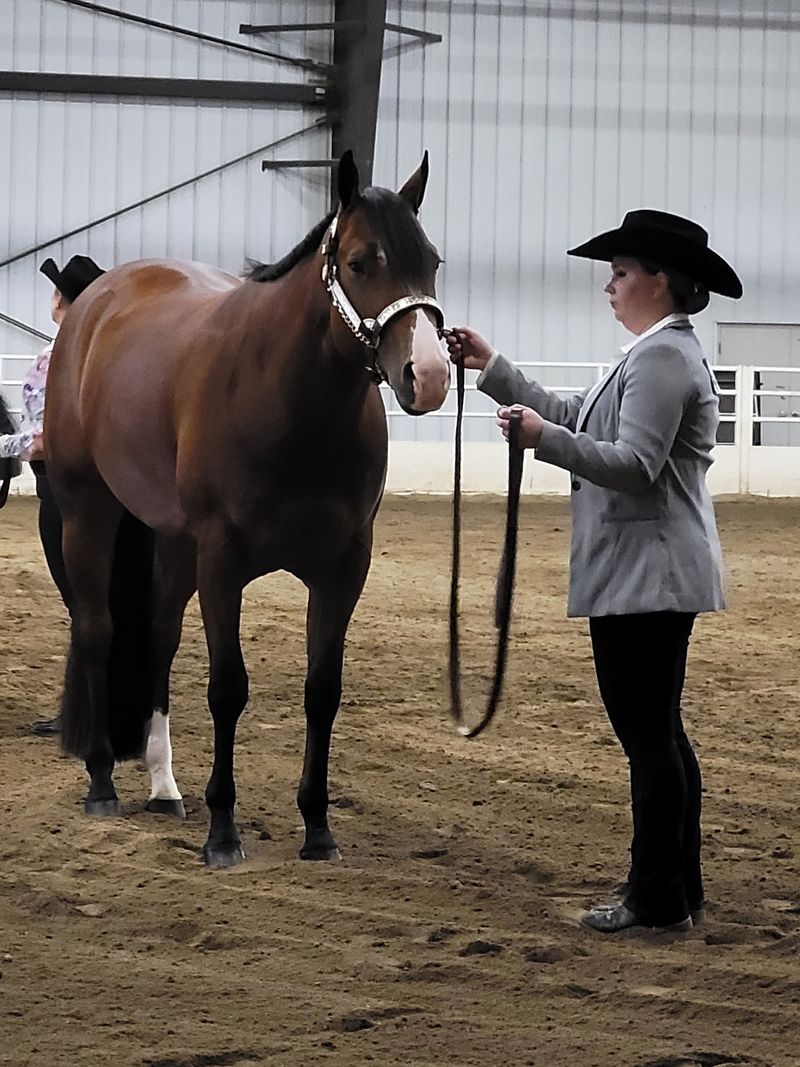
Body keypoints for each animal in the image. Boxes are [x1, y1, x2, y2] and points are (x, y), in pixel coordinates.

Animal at [44, 150, 450, 867]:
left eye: (430, 260)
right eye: (359, 262)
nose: (428, 376)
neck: (286, 400)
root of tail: (97, 301)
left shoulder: (344, 568)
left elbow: (323, 692)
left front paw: (317, 828)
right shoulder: (223, 562)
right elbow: (227, 688)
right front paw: (223, 831)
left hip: (172, 542)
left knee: (158, 638)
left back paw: (164, 787)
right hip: (88, 512)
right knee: (98, 630)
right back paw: (102, 783)